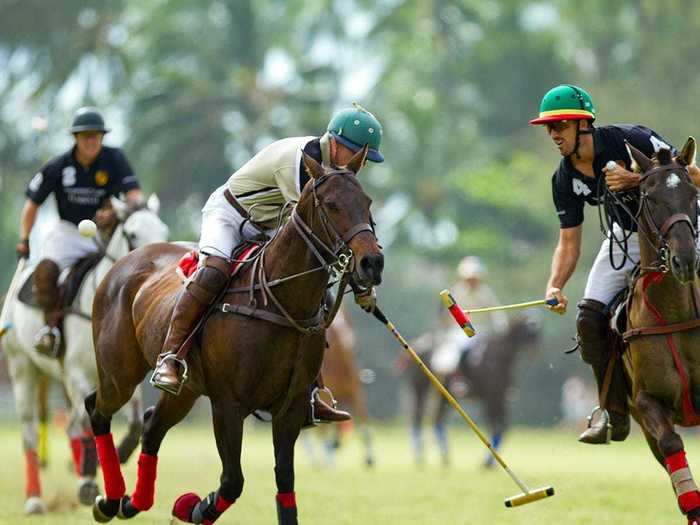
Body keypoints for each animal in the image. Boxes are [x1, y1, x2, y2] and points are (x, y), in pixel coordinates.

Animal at [1, 195, 169, 512]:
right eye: (131, 235)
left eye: (163, 232)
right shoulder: (77, 372)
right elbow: (86, 421)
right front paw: (89, 483)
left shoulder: (121, 377)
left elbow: (133, 421)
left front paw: (118, 456)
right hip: (21, 367)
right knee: (31, 431)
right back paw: (35, 498)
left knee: (69, 426)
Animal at [400, 314, 540, 464]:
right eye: (529, 330)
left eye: (538, 331)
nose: (534, 353)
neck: (499, 357)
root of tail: (418, 343)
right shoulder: (490, 397)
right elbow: (495, 425)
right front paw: (488, 462)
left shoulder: (500, 397)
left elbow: (503, 426)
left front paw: (490, 462)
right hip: (420, 388)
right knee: (418, 416)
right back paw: (421, 457)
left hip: (443, 393)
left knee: (437, 418)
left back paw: (444, 458)